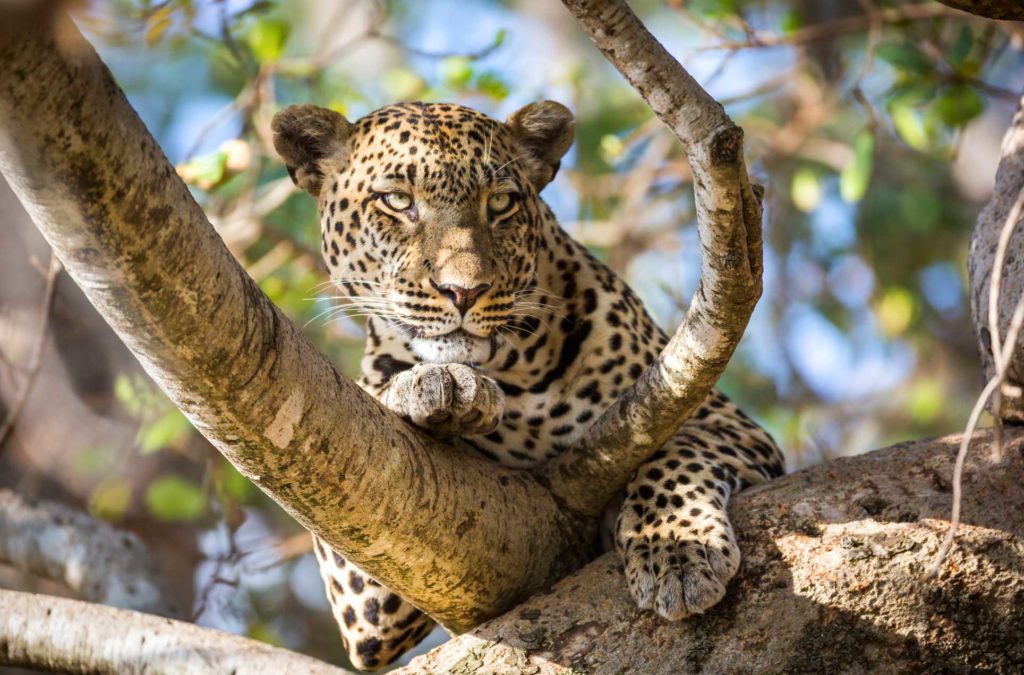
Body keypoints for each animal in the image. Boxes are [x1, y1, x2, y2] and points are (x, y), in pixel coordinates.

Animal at [271, 99, 785, 671]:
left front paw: (675, 550)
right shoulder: (366, 606)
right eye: (397, 201)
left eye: (500, 203)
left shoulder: (727, 421)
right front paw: (431, 388)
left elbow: (675, 455)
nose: (463, 291)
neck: (513, 376)